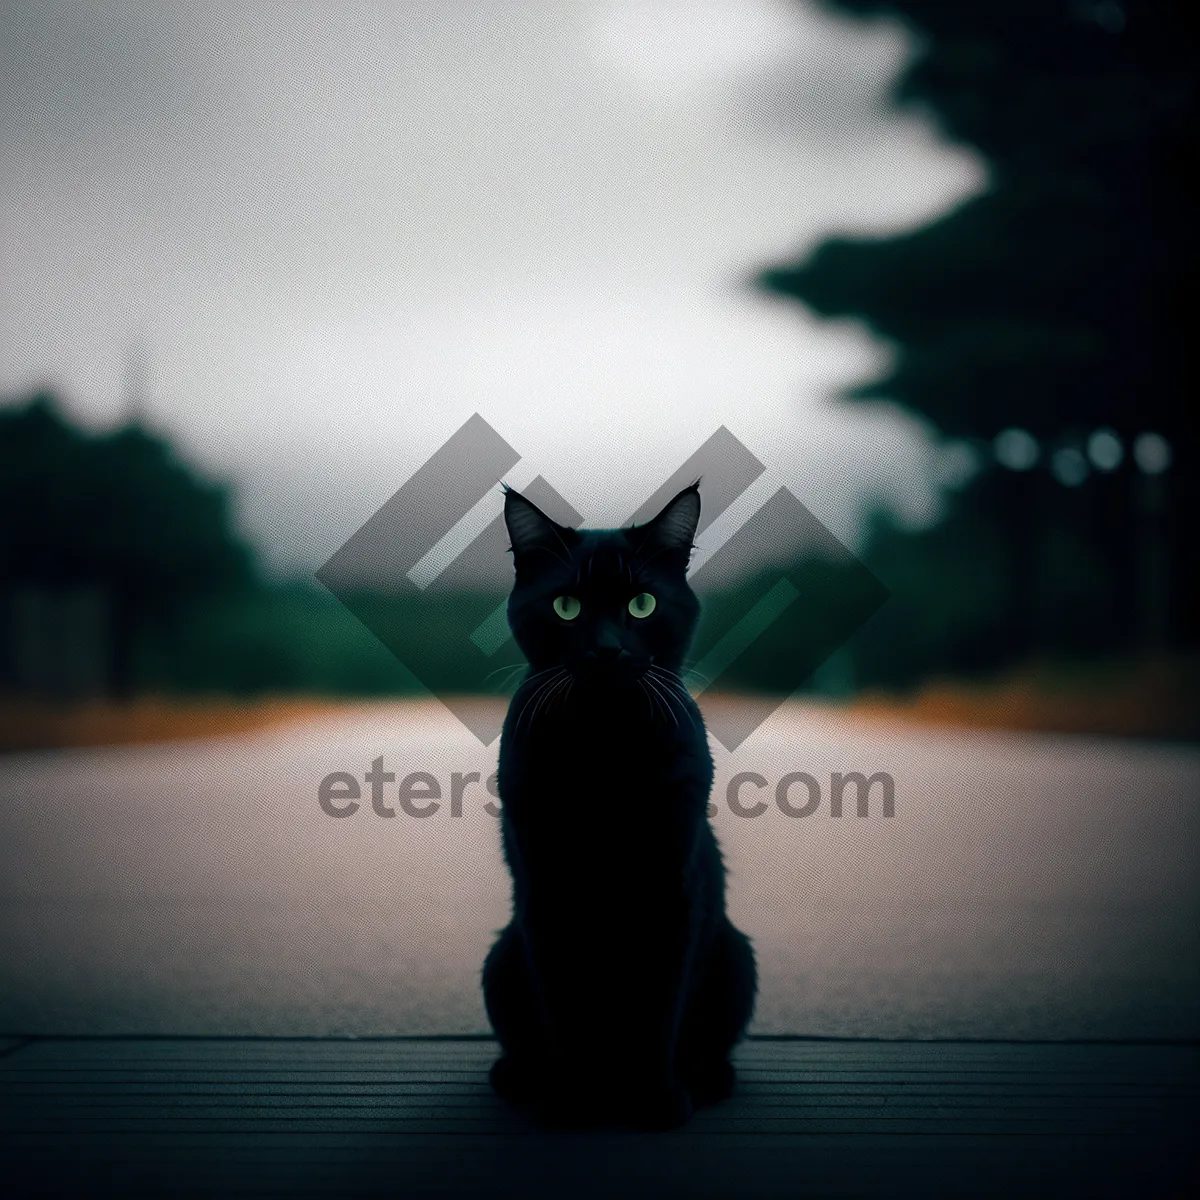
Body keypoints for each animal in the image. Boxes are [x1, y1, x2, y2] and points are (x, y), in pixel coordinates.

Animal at [482, 482, 753, 1128]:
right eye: (566, 608)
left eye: (642, 605)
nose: (606, 650)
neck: (606, 745)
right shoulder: (547, 894)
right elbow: (564, 1012)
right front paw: (570, 1101)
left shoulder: (674, 892)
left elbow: (660, 1013)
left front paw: (656, 1101)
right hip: (503, 958)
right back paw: (518, 1076)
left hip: (734, 957)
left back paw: (709, 1078)